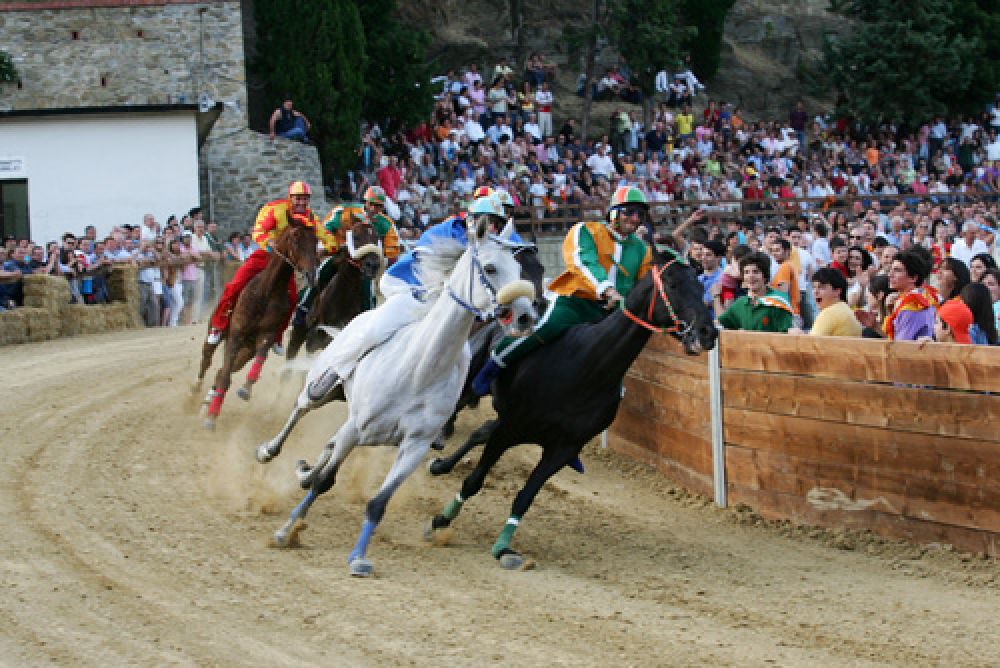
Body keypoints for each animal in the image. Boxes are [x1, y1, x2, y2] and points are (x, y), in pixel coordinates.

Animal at [197, 218, 318, 428]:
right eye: (296, 238)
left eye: (315, 241)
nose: (311, 275)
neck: (266, 292)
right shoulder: (236, 335)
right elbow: (225, 378)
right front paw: (211, 418)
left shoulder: (266, 335)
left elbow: (260, 356)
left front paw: (246, 388)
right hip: (216, 331)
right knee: (207, 360)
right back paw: (195, 396)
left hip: (246, 351)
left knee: (221, 371)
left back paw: (207, 401)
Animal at [426, 245, 716, 568]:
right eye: (673, 284)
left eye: (700, 285)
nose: (708, 332)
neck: (585, 368)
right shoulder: (510, 429)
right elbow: (474, 481)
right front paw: (441, 521)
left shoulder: (562, 449)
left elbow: (525, 497)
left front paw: (504, 548)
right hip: (471, 384)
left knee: (481, 430)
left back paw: (441, 464)